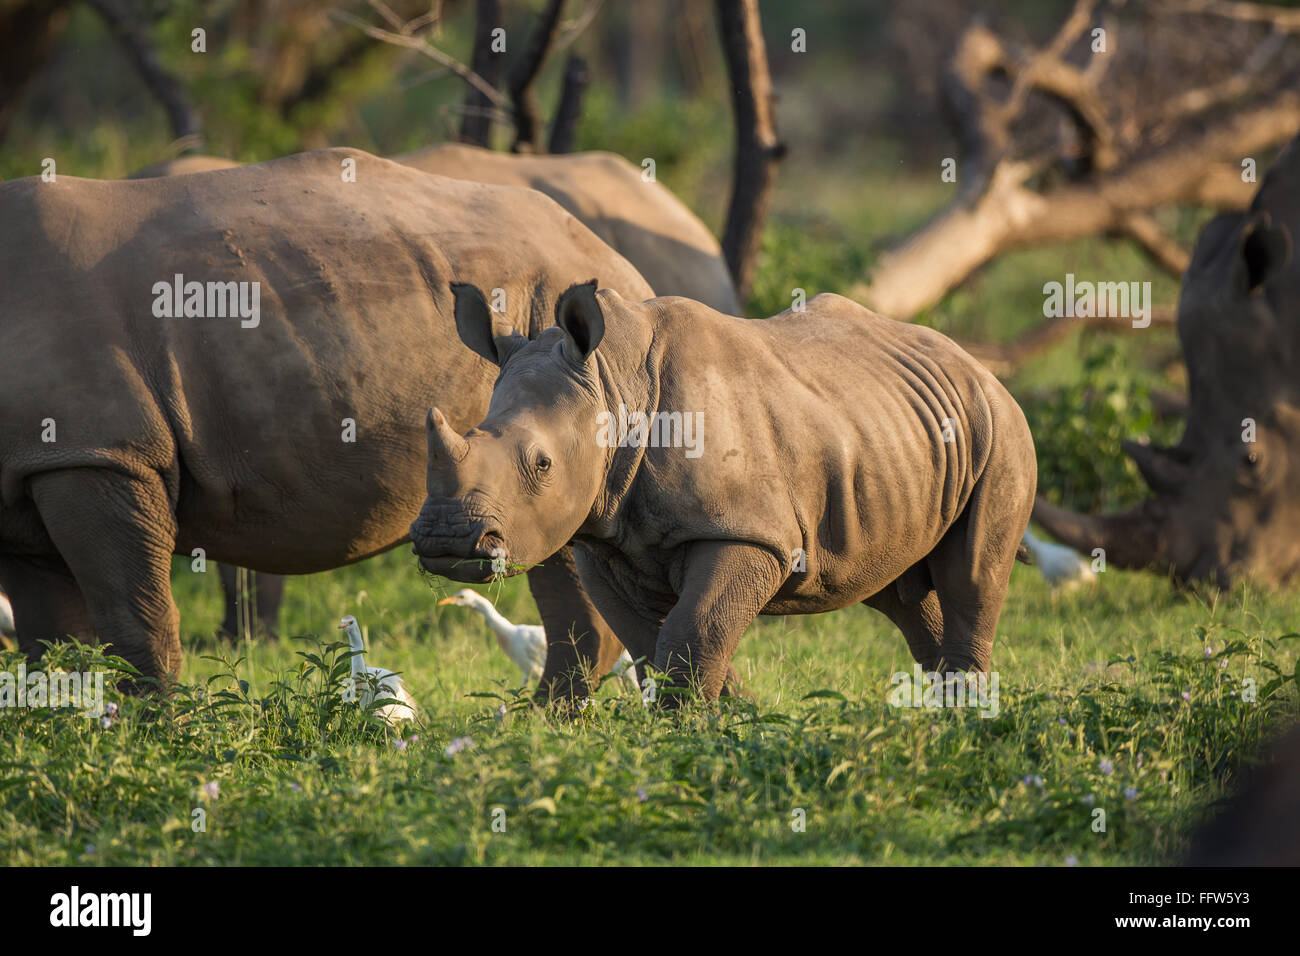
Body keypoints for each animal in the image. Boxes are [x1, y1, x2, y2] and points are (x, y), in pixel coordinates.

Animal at [0, 145, 650, 691]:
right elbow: (52, 641)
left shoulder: (99, 454)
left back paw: (539, 722)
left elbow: (133, 623)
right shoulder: (34, 468)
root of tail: (617, 260)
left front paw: (155, 741)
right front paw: (84, 728)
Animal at [410, 280, 1040, 697]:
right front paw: (729, 725)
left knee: (972, 575)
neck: (612, 386)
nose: (446, 539)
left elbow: (694, 633)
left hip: (1001, 426)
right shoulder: (602, 538)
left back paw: (965, 724)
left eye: (541, 463)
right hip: (890, 433)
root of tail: (975, 364)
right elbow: (657, 645)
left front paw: (699, 736)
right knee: (896, 586)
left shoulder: (745, 532)